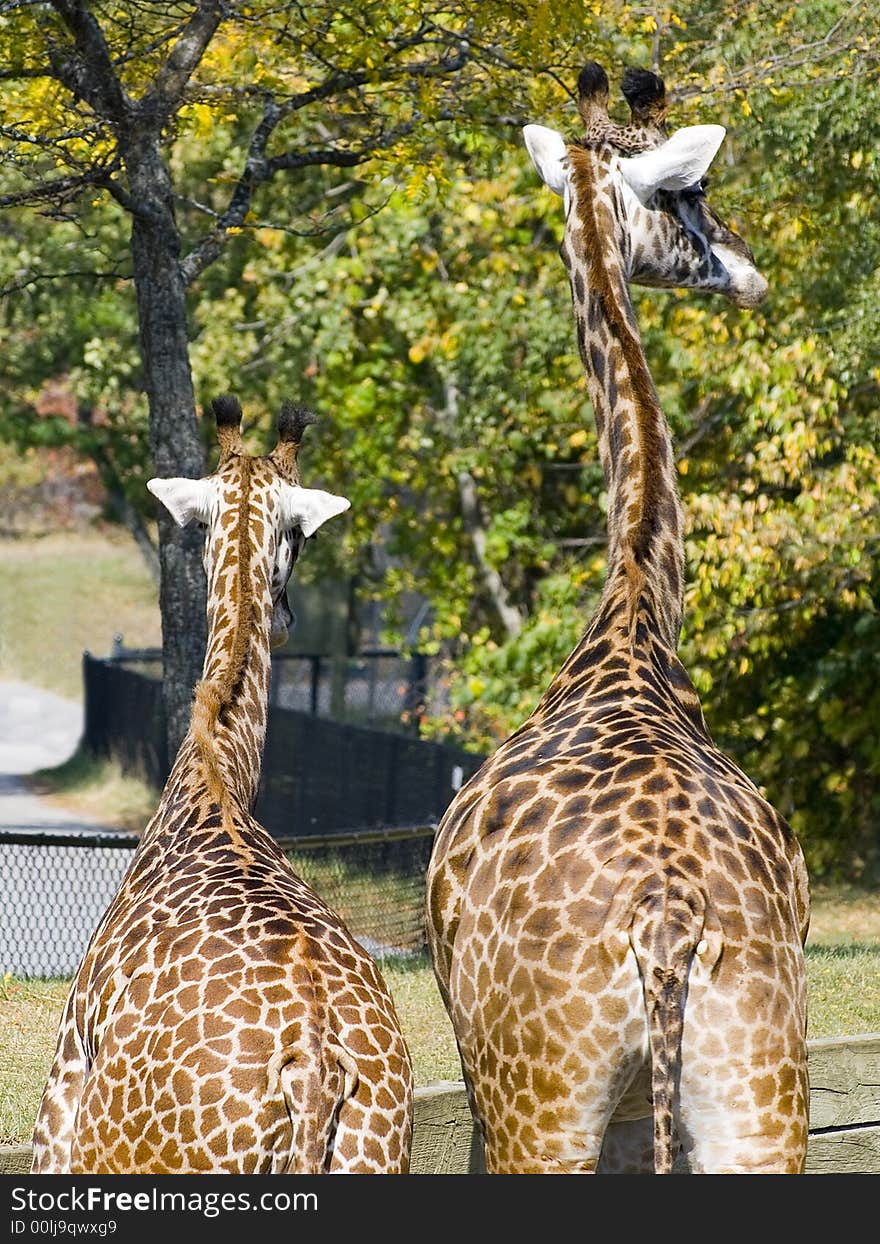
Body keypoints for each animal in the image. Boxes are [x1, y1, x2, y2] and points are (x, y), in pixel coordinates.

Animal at [32, 398, 415, 1174]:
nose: (290, 615)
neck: (214, 782)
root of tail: (314, 1070)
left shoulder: (61, 1098)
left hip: (121, 1153)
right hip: (381, 1152)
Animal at [425, 63, 811, 1174]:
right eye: (691, 196)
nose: (747, 272)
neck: (637, 614)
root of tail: (667, 918)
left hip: (541, 1095)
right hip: (757, 1092)